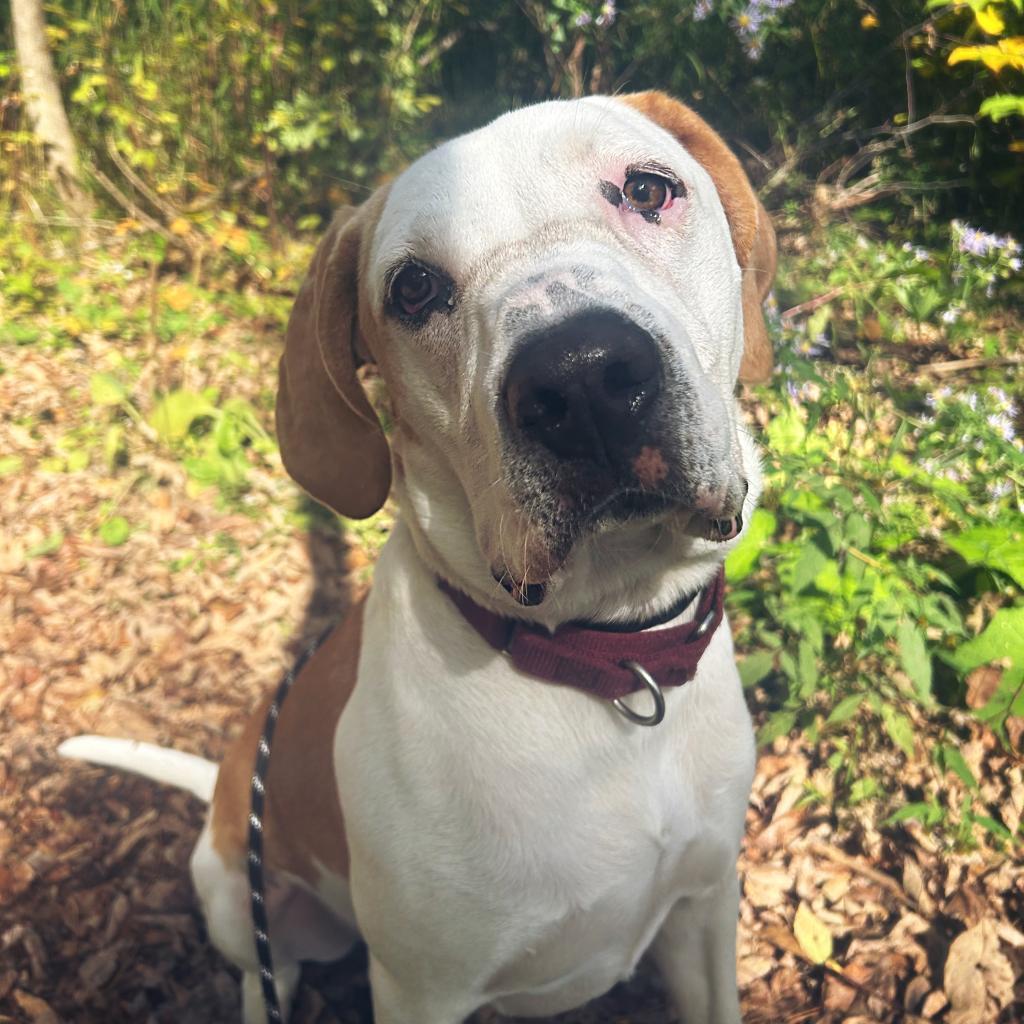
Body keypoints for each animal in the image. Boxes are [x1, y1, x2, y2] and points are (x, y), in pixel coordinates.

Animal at [58, 90, 774, 1024]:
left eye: (649, 189)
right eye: (414, 288)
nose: (582, 376)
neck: (602, 660)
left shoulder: (703, 909)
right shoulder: (419, 989)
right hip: (240, 905)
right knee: (263, 971)